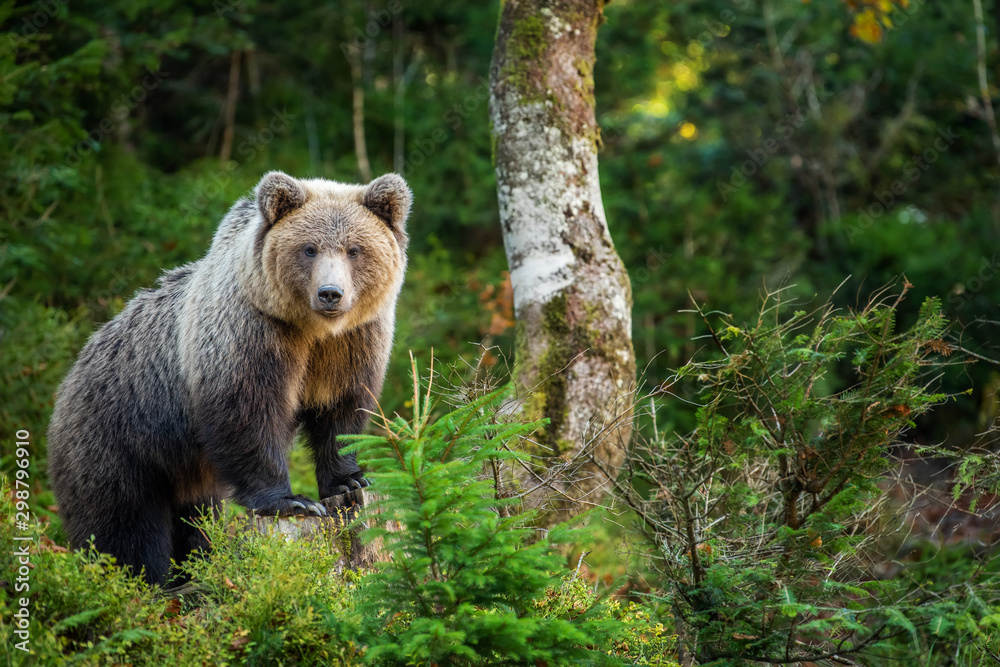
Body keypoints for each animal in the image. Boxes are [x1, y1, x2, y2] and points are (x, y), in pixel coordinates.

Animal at [47, 171, 411, 585]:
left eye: (354, 249)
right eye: (309, 249)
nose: (330, 294)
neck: (312, 330)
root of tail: (68, 380)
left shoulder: (352, 343)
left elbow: (343, 411)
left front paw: (351, 480)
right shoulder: (251, 331)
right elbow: (247, 413)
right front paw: (293, 501)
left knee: (195, 517)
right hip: (117, 439)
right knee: (123, 525)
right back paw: (140, 579)